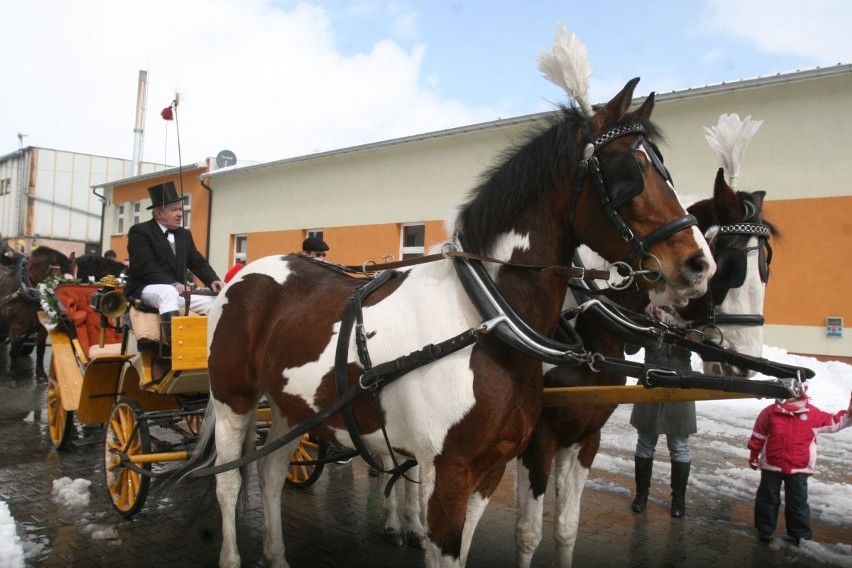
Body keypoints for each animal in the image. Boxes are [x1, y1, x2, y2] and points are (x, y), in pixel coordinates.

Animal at [0, 246, 73, 380]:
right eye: (59, 279)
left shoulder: (41, 328)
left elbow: (41, 350)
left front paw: (41, 374)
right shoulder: (15, 328)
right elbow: (14, 351)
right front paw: (13, 375)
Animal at [176, 76, 716, 568]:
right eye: (631, 170)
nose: (698, 265)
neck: (485, 319)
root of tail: (243, 275)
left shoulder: (490, 469)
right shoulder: (450, 471)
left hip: (293, 408)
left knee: (269, 473)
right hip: (233, 398)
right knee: (229, 481)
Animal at [512, 172, 780, 568]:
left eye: (767, 269)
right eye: (729, 268)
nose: (742, 362)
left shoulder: (585, 437)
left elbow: (566, 528)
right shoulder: (538, 441)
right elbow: (528, 533)